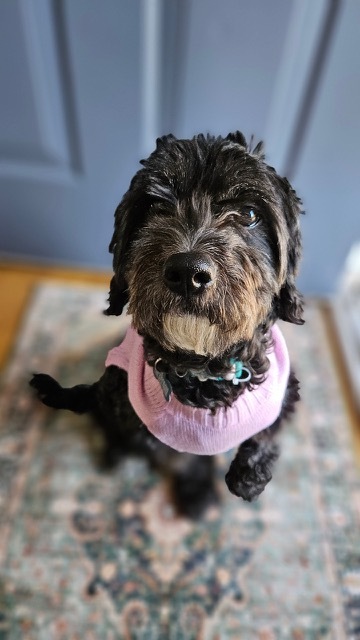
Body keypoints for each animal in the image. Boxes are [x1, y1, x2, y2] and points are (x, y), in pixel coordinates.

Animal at [30, 132, 304, 516]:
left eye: (250, 213)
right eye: (153, 207)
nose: (188, 272)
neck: (206, 373)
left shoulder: (284, 388)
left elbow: (270, 429)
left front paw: (248, 478)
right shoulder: (151, 423)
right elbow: (182, 457)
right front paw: (198, 490)